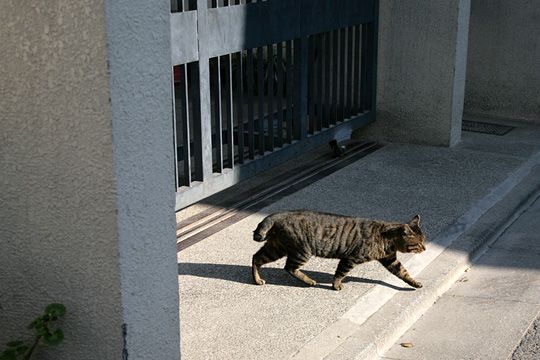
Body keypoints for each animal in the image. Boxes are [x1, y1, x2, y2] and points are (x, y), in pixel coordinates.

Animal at [252, 211, 426, 290]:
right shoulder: (350, 258)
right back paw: (309, 281)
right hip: (301, 251)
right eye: (419, 243)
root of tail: (280, 214)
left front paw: (415, 283)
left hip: (276, 247)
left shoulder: (390, 259)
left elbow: (404, 273)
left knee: (256, 257)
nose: (425, 248)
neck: (387, 239)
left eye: (424, 240)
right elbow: (340, 273)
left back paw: (257, 280)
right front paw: (336, 285)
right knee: (289, 267)